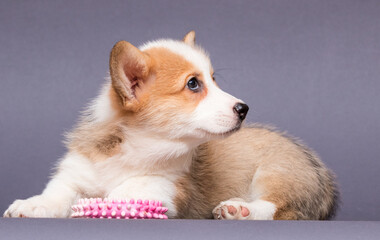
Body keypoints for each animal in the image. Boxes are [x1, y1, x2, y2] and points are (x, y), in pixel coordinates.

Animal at [2, 31, 338, 219]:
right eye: (193, 84)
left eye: (213, 80)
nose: (244, 109)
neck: (137, 143)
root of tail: (324, 177)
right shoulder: (75, 173)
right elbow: (58, 194)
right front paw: (32, 206)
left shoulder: (165, 185)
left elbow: (126, 189)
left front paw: (103, 205)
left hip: (278, 173)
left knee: (278, 208)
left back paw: (239, 210)